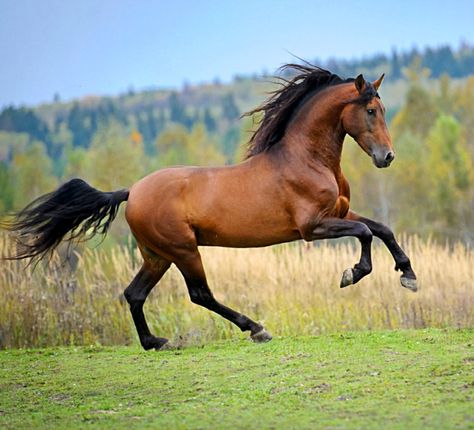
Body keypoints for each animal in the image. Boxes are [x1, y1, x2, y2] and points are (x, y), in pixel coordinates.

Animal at [3, 65, 418, 352]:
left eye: (381, 108)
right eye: (370, 110)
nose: (387, 157)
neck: (307, 159)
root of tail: (132, 191)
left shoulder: (341, 213)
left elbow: (381, 228)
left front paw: (408, 275)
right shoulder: (312, 227)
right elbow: (365, 233)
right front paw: (353, 274)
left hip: (157, 255)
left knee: (134, 294)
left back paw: (156, 342)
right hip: (183, 250)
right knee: (199, 294)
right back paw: (255, 329)